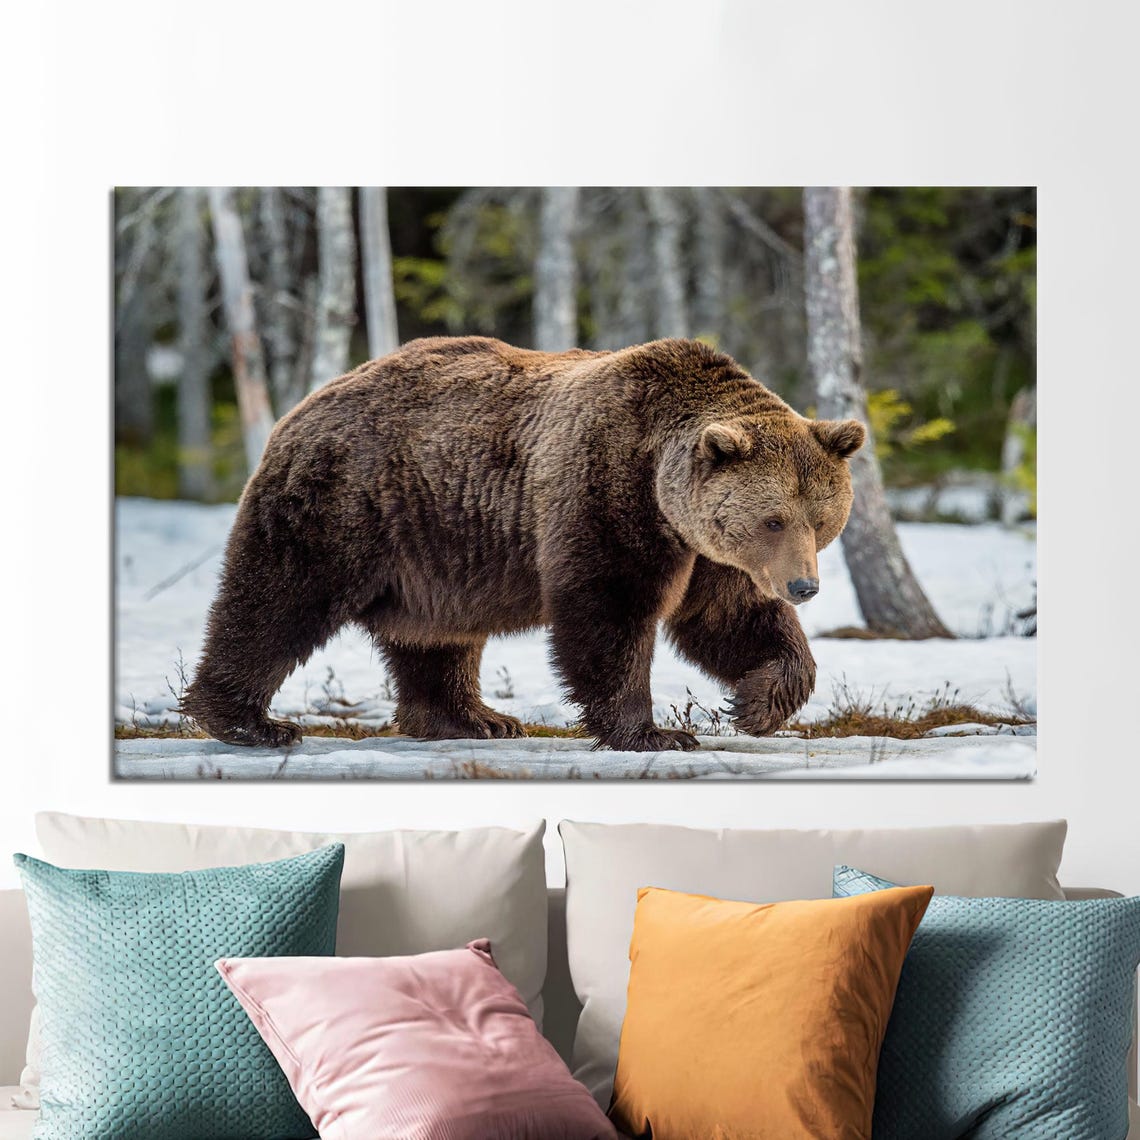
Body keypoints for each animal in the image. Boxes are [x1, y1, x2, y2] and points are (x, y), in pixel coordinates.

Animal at [181, 336, 864, 752]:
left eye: (821, 518)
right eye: (773, 519)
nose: (804, 585)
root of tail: (305, 404)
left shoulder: (706, 551)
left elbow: (729, 618)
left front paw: (754, 703)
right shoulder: (606, 493)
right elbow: (610, 612)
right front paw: (652, 732)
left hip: (434, 549)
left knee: (435, 637)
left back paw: (474, 719)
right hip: (345, 505)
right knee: (278, 600)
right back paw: (250, 721)